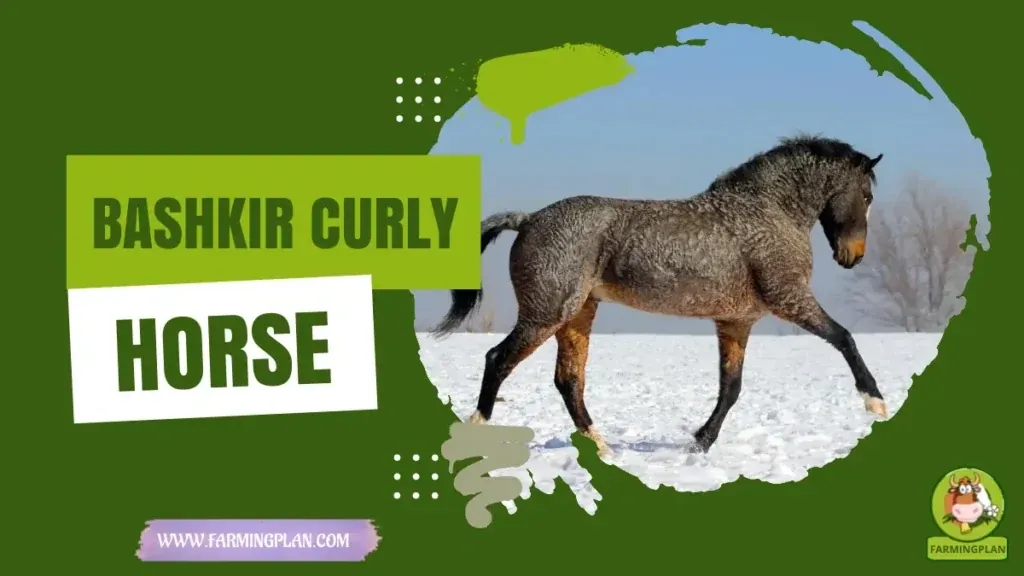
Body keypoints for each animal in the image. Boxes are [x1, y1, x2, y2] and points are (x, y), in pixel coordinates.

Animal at [432, 134, 886, 457]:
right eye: (866, 196)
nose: (853, 256)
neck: (767, 211)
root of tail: (528, 219)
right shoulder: (789, 298)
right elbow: (844, 337)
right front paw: (875, 402)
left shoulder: (736, 322)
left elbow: (731, 387)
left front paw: (700, 442)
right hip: (547, 314)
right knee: (499, 360)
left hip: (577, 315)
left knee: (568, 380)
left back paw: (603, 448)